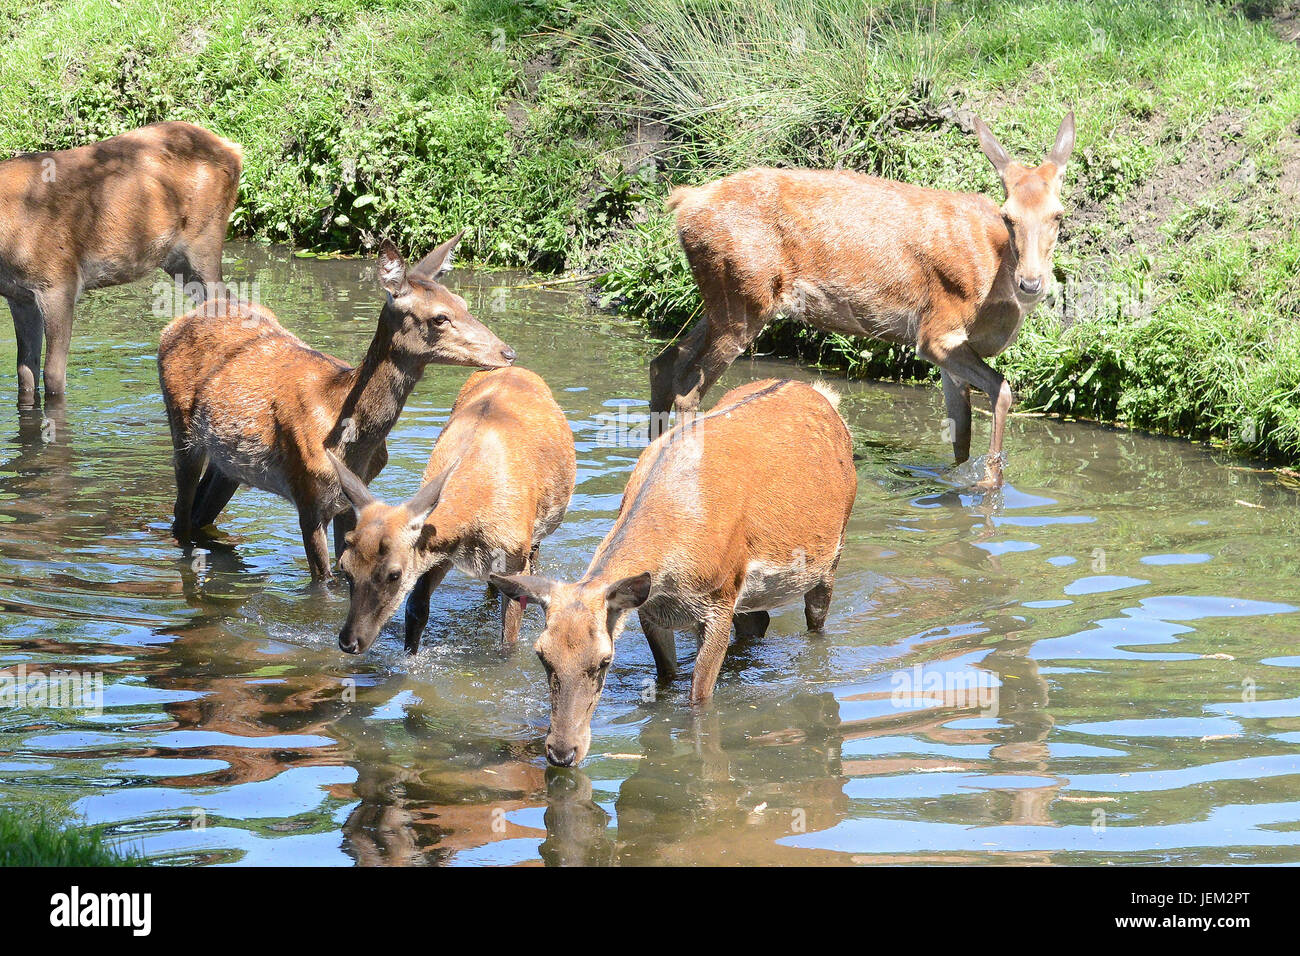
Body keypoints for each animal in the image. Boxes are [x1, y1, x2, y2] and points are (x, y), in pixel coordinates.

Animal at [0, 121, 241, 405]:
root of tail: (234, 150)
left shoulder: (59, 281)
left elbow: (53, 374)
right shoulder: (19, 296)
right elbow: (25, 373)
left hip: (204, 239)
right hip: (177, 261)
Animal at [157, 235, 512, 580]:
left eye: (463, 303)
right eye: (440, 317)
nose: (507, 352)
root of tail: (172, 326)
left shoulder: (350, 501)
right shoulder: (307, 496)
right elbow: (323, 580)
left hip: (229, 462)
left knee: (202, 510)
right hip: (183, 431)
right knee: (181, 517)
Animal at [330, 361, 579, 655]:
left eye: (394, 574)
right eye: (345, 566)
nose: (349, 642)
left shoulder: (515, 560)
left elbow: (508, 638)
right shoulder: (441, 552)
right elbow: (416, 608)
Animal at [491, 382, 857, 770]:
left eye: (605, 661)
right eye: (542, 655)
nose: (561, 752)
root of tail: (823, 394)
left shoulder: (720, 601)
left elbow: (699, 698)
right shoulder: (652, 610)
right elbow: (666, 677)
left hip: (831, 554)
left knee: (816, 622)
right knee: (758, 622)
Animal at [650, 110, 1076, 494]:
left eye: (1058, 215)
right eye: (1008, 216)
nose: (1031, 282)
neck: (995, 282)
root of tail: (683, 203)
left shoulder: (950, 354)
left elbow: (961, 438)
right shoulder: (936, 332)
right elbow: (1001, 390)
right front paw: (990, 484)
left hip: (724, 298)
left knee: (665, 361)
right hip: (745, 297)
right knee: (688, 390)